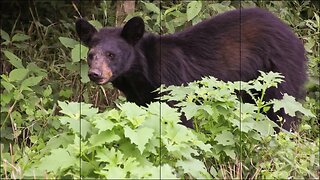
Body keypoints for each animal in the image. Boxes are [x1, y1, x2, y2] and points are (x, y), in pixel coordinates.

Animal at [75, 7, 308, 131]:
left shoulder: (173, 85)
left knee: (282, 110)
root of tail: (295, 38)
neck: (140, 74)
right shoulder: (140, 97)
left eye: (111, 55)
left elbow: (180, 120)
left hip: (279, 71)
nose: (95, 74)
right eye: (91, 55)